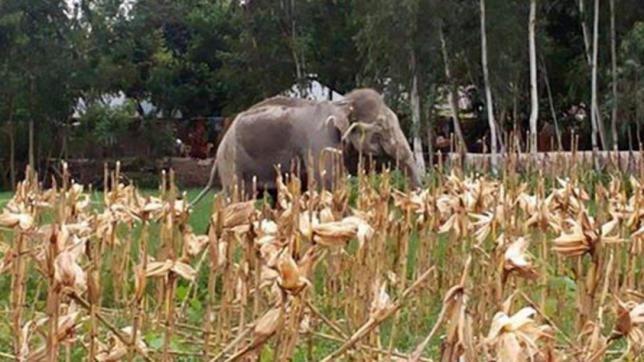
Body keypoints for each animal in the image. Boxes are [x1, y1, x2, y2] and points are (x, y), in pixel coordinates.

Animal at [191, 88, 422, 205]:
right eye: (383, 130)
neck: (343, 103)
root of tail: (221, 145)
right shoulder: (320, 140)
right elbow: (327, 185)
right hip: (232, 162)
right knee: (237, 199)